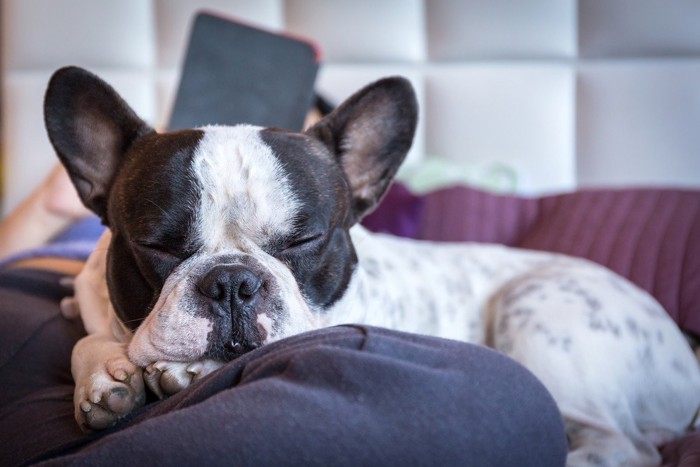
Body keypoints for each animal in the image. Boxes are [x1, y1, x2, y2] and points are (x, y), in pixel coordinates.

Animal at [46, 66, 696, 467]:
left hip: (536, 311)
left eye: (306, 238)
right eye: (157, 246)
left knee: (622, 444)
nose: (232, 282)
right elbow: (84, 336)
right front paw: (105, 377)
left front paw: (170, 374)